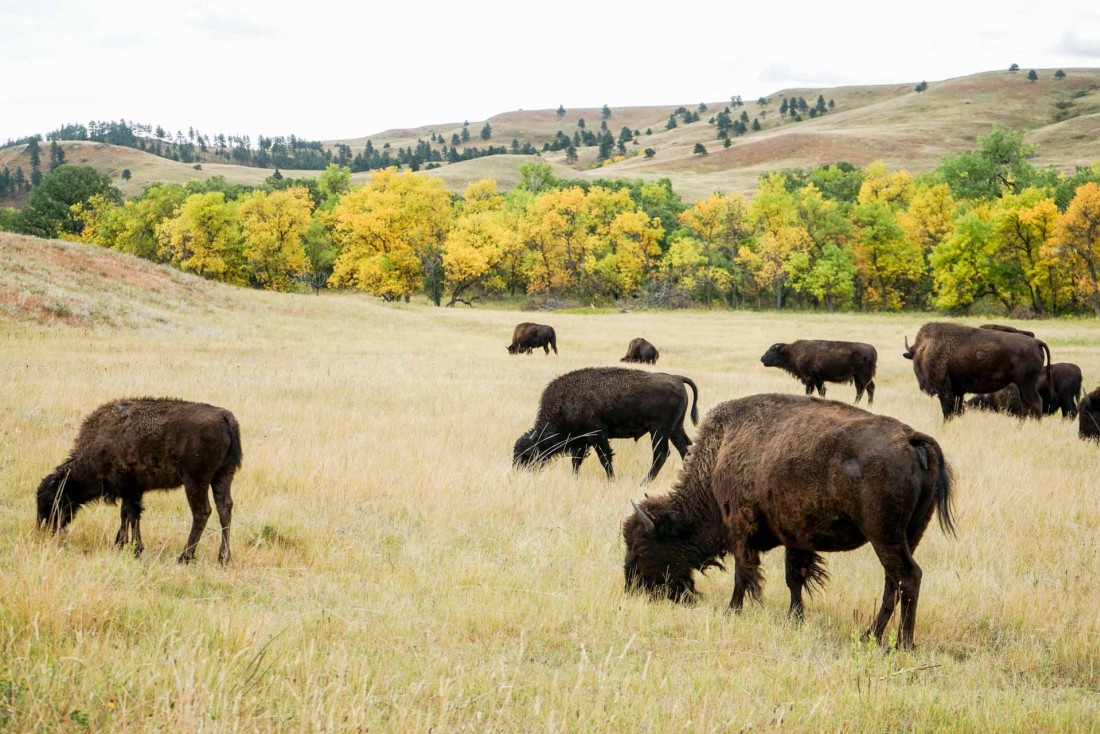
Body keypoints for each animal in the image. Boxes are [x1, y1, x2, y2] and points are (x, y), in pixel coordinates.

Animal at [35, 398, 242, 567]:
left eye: (50, 499)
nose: (45, 529)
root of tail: (225, 416)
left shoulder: (129, 488)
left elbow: (132, 514)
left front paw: (135, 548)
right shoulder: (132, 489)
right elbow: (126, 514)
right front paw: (120, 543)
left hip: (195, 481)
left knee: (202, 512)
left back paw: (185, 557)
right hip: (223, 476)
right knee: (225, 509)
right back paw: (223, 558)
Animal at [512, 367, 699, 481]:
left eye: (527, 454)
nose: (517, 471)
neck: (565, 402)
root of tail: (677, 378)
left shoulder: (596, 436)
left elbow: (605, 459)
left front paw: (611, 480)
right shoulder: (580, 442)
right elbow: (576, 462)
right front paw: (575, 478)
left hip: (659, 431)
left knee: (661, 454)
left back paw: (644, 482)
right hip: (675, 428)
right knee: (685, 448)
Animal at [624, 393, 950, 651]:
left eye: (643, 548)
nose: (632, 589)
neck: (721, 452)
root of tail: (912, 439)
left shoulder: (740, 529)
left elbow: (743, 574)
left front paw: (733, 610)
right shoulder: (796, 538)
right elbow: (794, 578)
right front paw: (795, 618)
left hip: (884, 535)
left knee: (908, 577)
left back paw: (902, 644)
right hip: (909, 535)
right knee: (892, 581)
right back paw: (871, 634)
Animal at [906, 321, 1051, 418]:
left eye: (917, 359)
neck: (928, 348)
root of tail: (1037, 342)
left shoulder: (945, 390)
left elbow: (948, 410)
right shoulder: (958, 392)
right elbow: (957, 410)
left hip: (1027, 384)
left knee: (1036, 403)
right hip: (1022, 386)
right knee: (1026, 406)